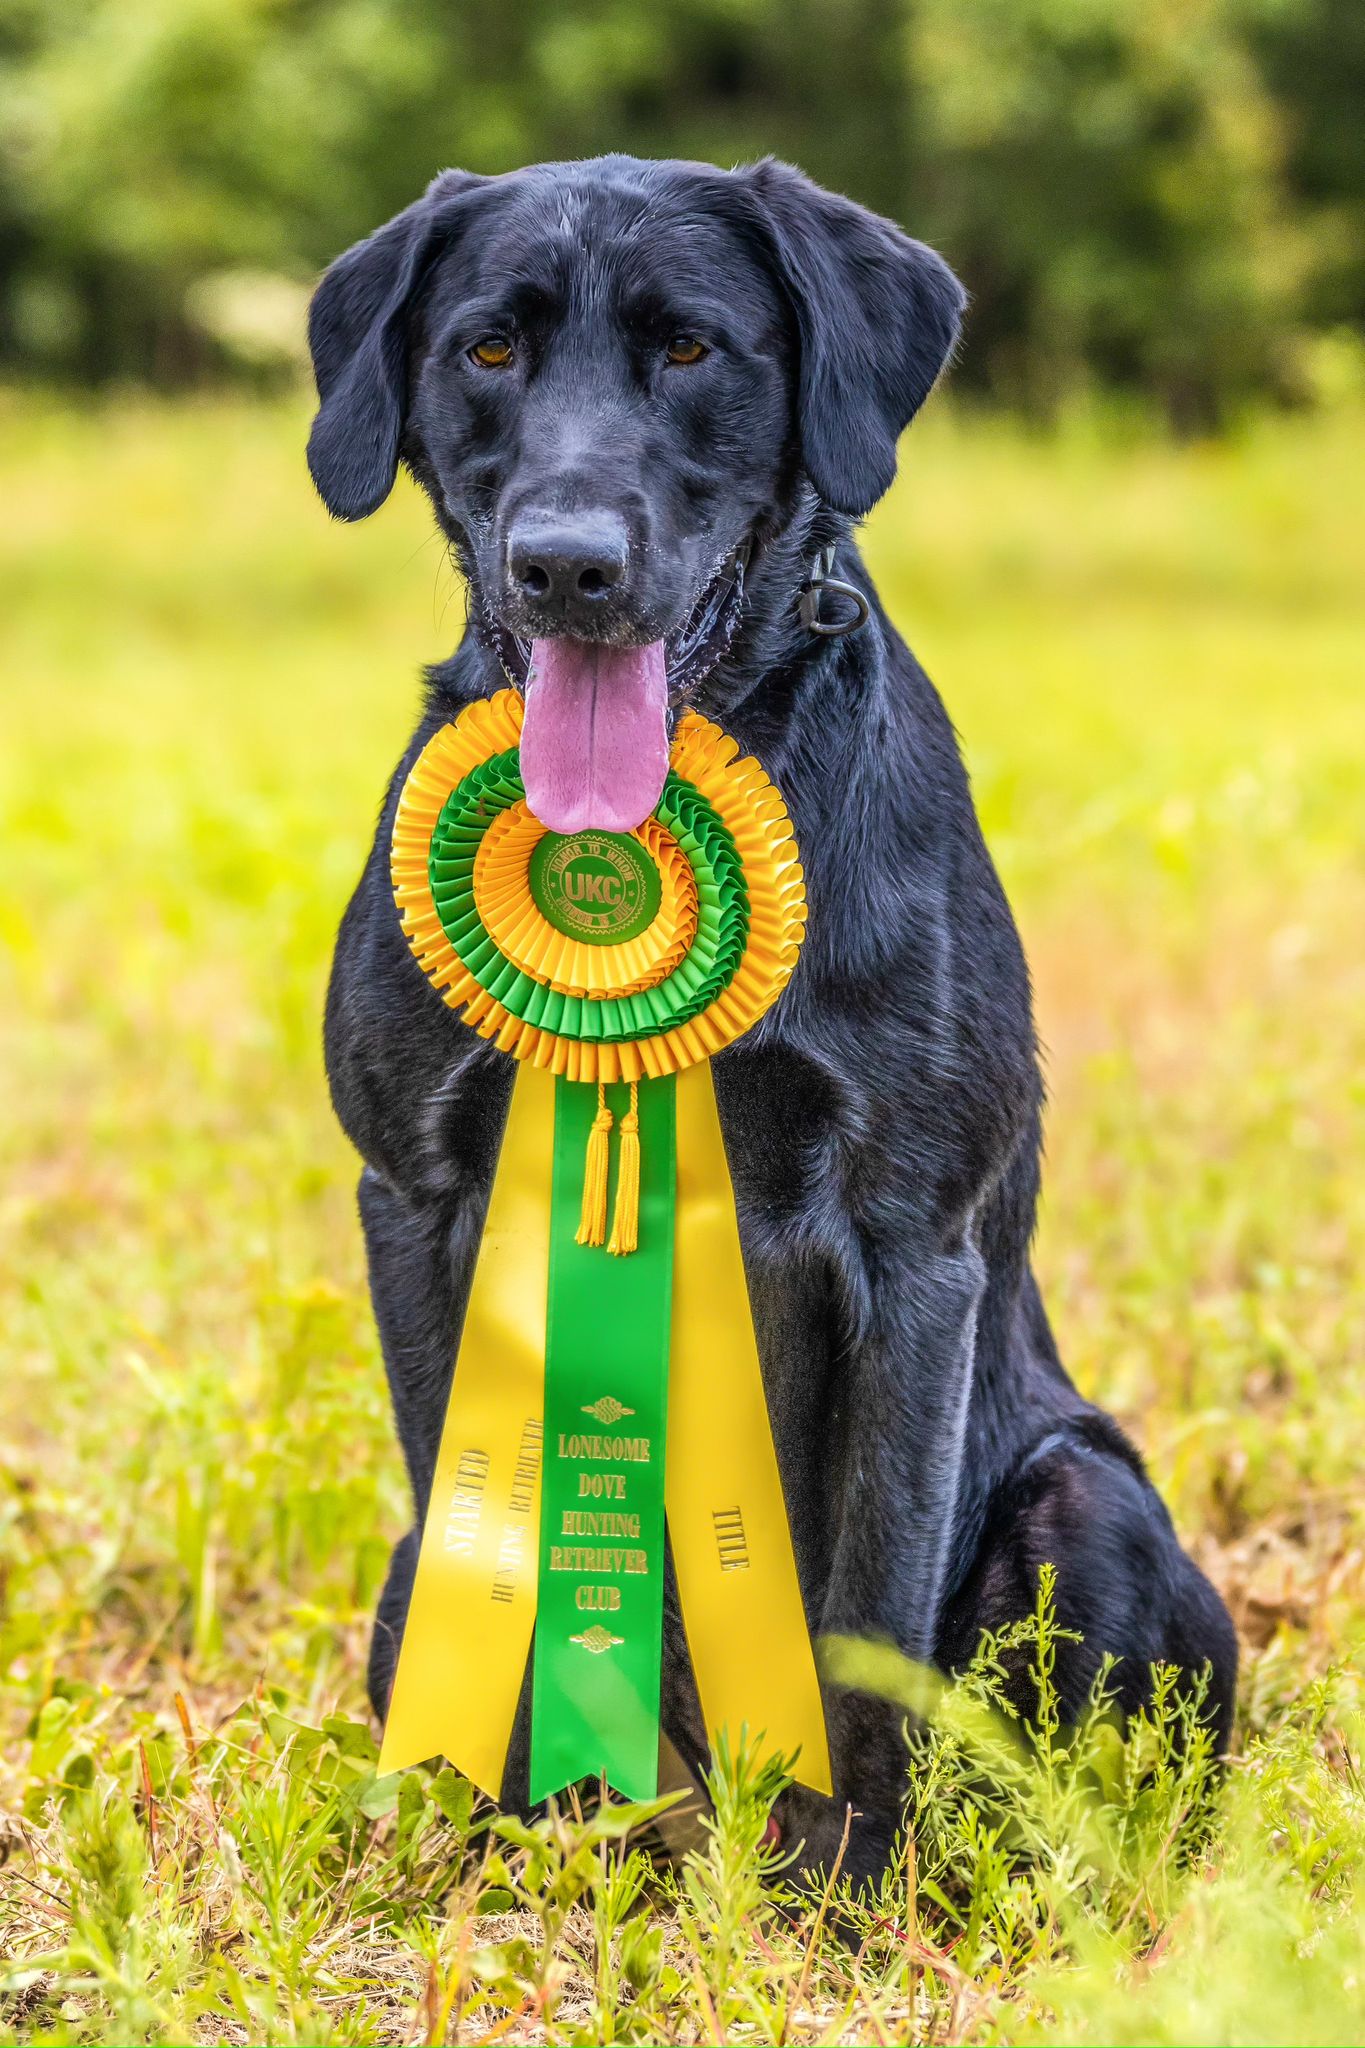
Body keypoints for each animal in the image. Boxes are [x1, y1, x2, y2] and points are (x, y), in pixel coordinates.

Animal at [313, 151, 1236, 1875]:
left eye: (690, 347)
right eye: (486, 349)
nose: (567, 566)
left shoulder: (909, 1239)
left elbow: (863, 1627)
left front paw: (850, 1894)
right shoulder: (414, 1194)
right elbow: (488, 1557)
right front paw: (494, 1862)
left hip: (1086, 1494)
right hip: (406, 1574)